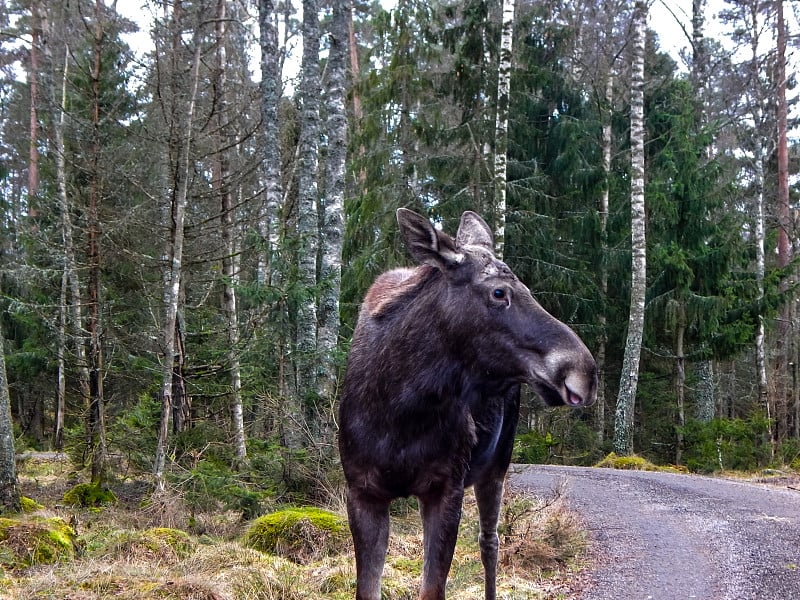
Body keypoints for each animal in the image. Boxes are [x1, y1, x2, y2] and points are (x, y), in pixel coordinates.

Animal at [338, 207, 592, 600]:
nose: (583, 370)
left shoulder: (447, 487)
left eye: (528, 290)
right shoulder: (362, 491)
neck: (400, 411)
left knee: (490, 543)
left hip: (497, 464)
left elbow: (433, 589)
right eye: (499, 292)